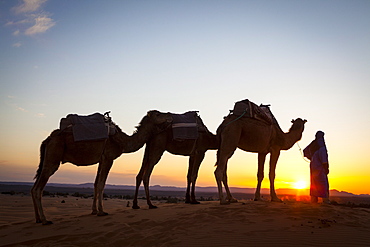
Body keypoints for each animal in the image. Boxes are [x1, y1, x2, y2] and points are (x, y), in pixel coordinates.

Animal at [30, 110, 172, 224]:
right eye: (158, 114)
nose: (170, 115)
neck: (122, 141)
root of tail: (47, 140)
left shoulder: (101, 160)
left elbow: (95, 183)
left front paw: (94, 210)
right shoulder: (108, 158)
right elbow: (101, 184)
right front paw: (101, 211)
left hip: (46, 160)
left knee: (33, 187)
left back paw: (37, 219)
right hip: (53, 158)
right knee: (38, 189)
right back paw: (45, 220)